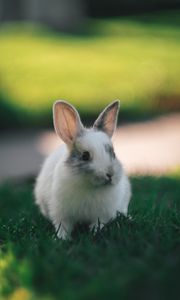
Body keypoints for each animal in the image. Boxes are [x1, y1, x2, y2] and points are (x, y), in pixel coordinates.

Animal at [34, 100, 131, 239]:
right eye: (85, 156)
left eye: (113, 154)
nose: (110, 174)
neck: (89, 186)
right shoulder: (61, 213)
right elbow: (63, 227)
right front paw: (62, 238)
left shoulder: (102, 215)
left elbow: (98, 224)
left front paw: (95, 233)